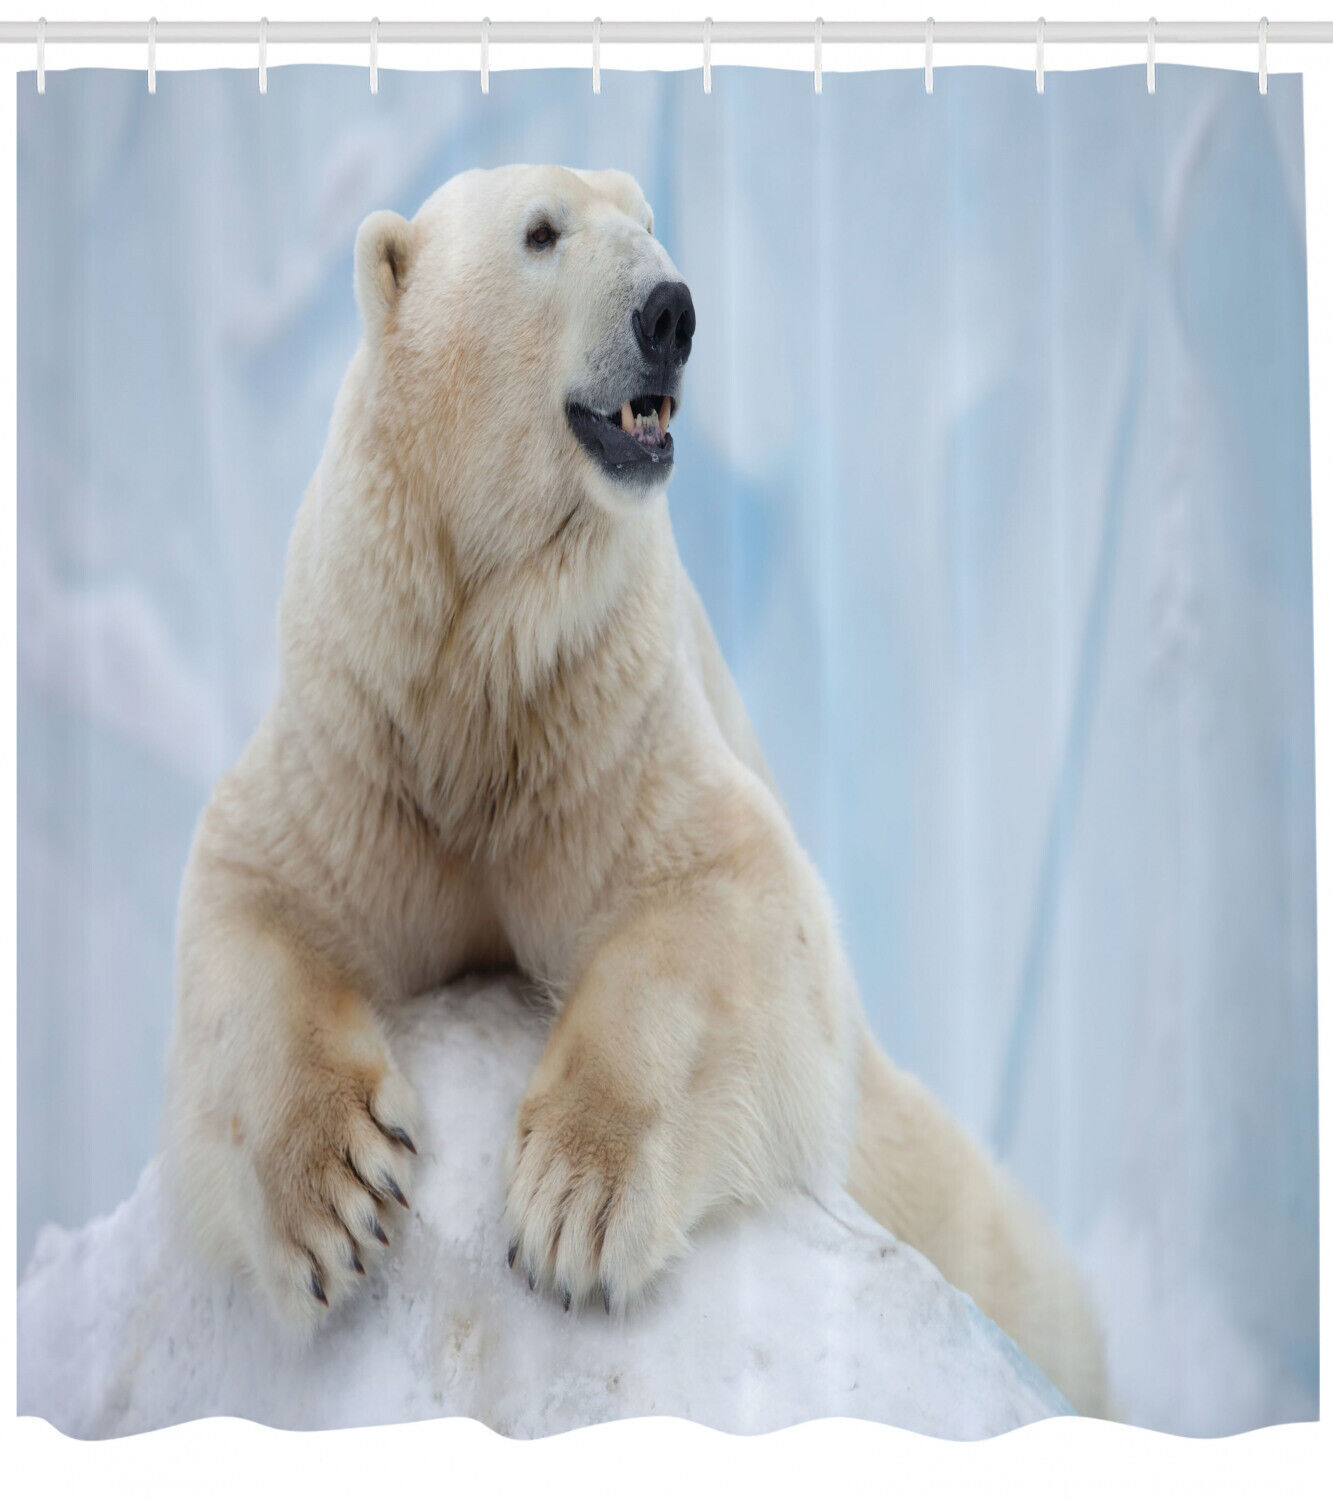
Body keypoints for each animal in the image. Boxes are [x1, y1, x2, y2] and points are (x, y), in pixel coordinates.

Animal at [163, 164, 1107, 1417]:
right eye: (540, 233)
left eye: (648, 222)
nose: (671, 310)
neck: (482, 663)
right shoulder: (364, 733)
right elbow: (255, 900)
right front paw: (334, 1200)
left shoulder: (603, 722)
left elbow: (720, 898)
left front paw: (574, 1204)